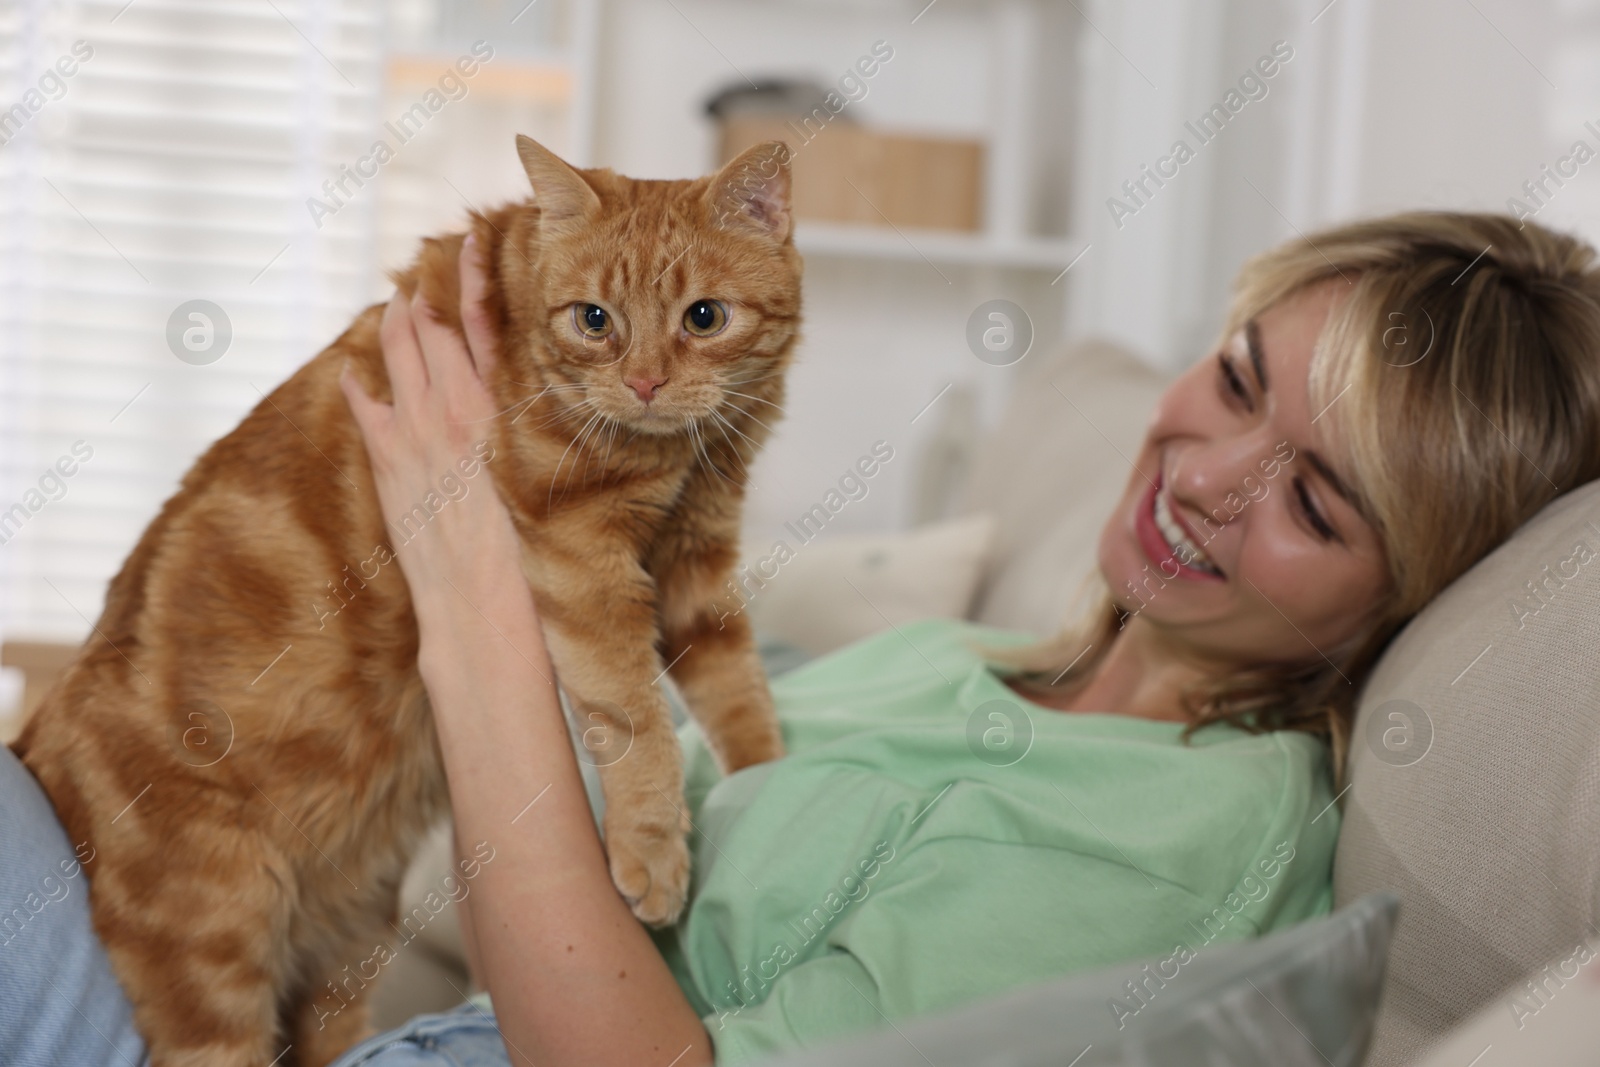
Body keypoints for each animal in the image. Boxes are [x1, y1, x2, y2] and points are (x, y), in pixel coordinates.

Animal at [15, 135, 800, 1067]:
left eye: (703, 318)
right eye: (594, 320)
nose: (644, 383)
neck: (679, 458)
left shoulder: (695, 567)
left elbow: (736, 687)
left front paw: (770, 775)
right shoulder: (584, 562)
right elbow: (637, 717)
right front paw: (654, 850)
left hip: (344, 953)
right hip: (214, 958)